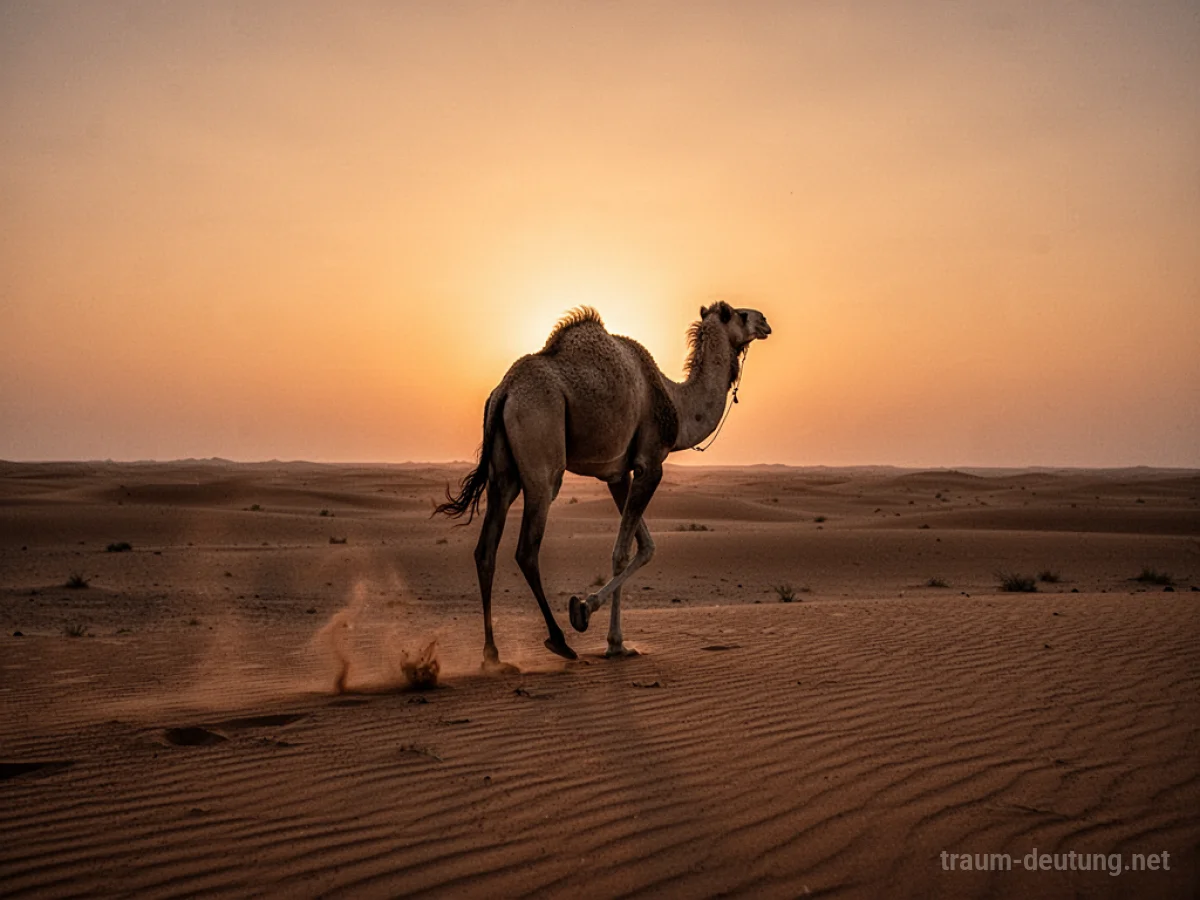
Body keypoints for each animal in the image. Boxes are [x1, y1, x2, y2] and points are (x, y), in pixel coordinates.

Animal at [435, 301, 772, 669]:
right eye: (741, 314)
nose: (765, 322)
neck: (676, 402)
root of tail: (504, 392)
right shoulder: (650, 463)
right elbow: (624, 551)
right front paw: (588, 616)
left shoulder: (618, 475)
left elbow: (644, 547)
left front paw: (616, 642)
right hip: (543, 458)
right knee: (526, 549)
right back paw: (559, 641)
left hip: (503, 474)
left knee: (486, 549)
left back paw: (492, 655)